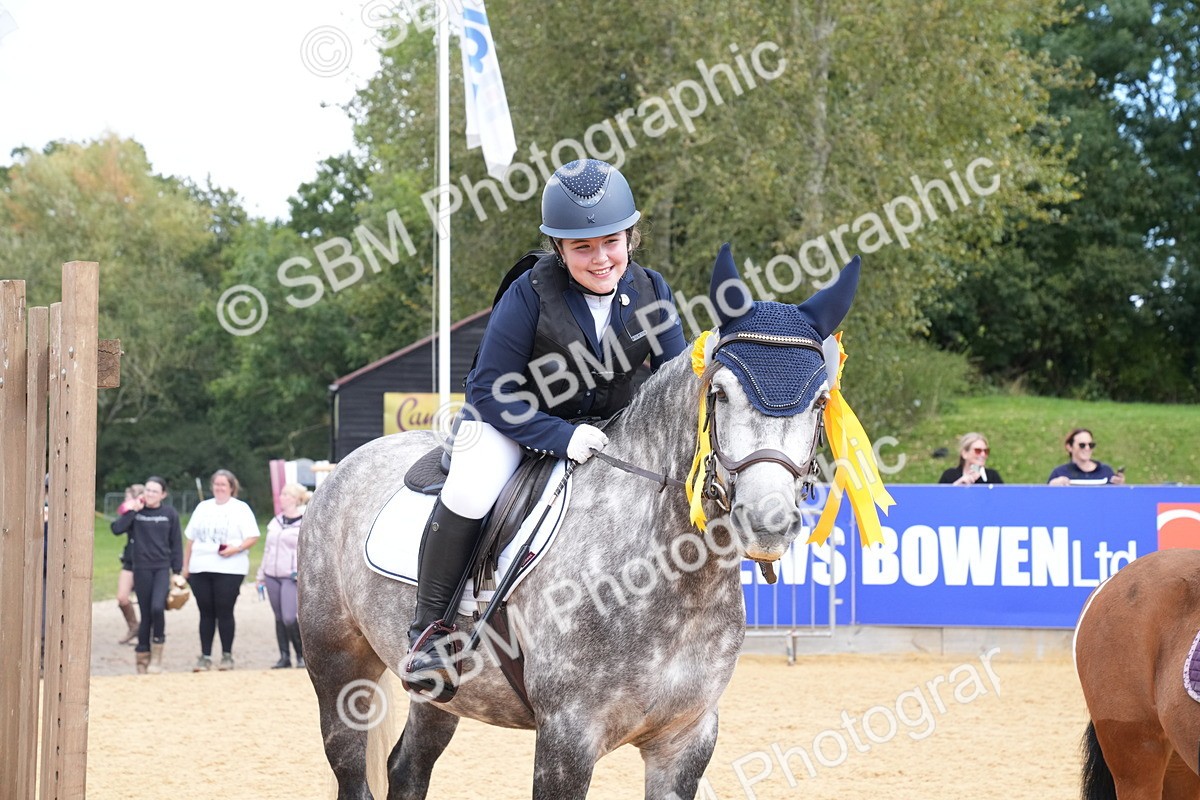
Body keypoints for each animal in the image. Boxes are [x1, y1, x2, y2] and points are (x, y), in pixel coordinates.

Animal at [298, 243, 863, 800]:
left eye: (820, 400)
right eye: (720, 393)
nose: (768, 524)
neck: (673, 579)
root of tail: (346, 465)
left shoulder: (686, 739)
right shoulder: (567, 737)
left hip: (444, 696)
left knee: (407, 768)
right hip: (339, 668)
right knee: (350, 766)